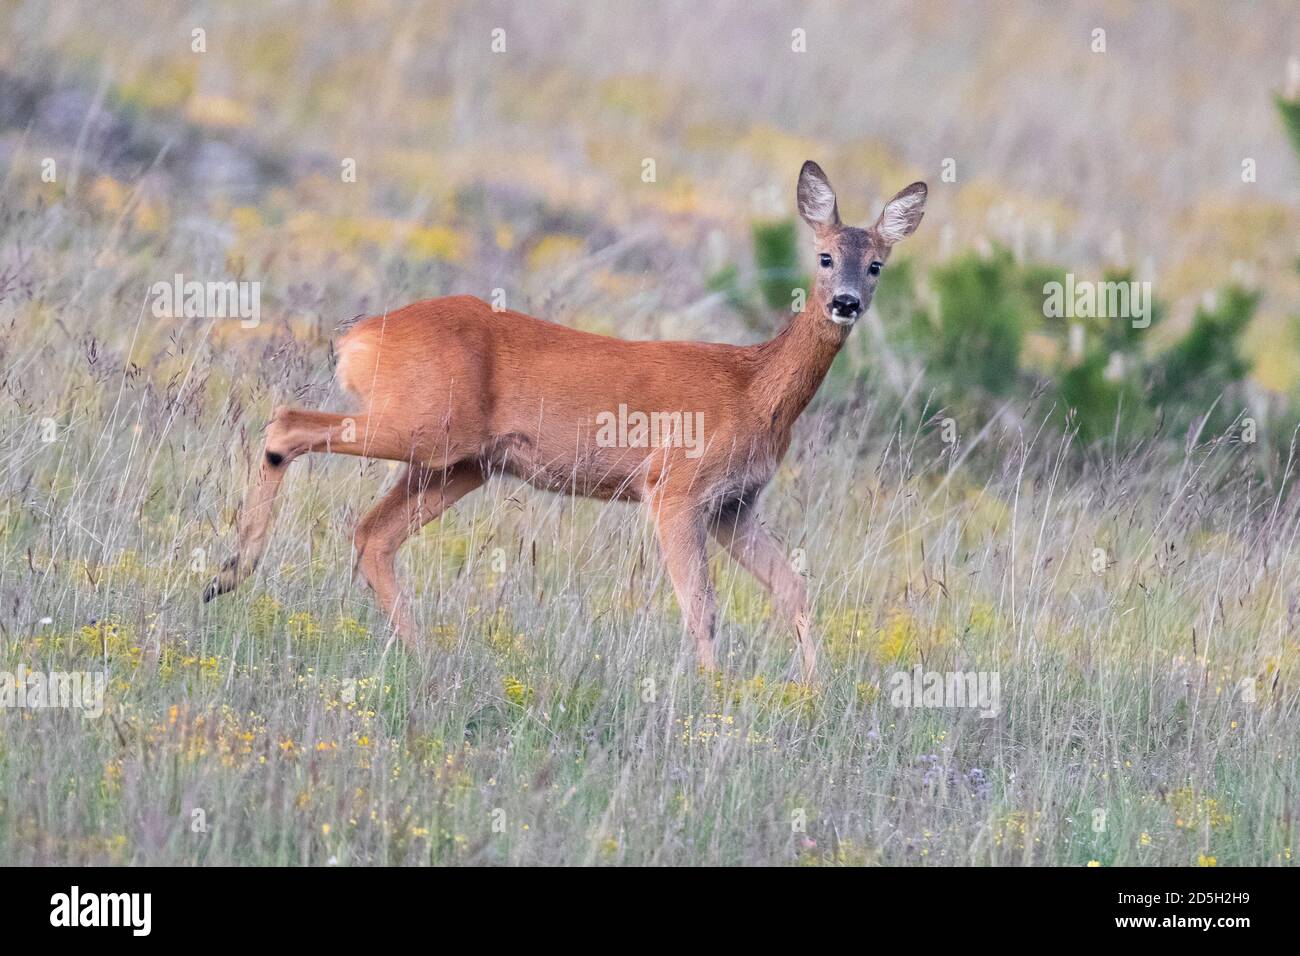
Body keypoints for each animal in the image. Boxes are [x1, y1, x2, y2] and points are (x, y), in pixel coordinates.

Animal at [205, 162, 925, 681]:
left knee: (372, 534)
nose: (846, 302)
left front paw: (811, 691)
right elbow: (703, 607)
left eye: (877, 264)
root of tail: (355, 338)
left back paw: (425, 656)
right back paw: (229, 573)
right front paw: (712, 693)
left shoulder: (734, 503)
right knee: (287, 424)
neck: (754, 389)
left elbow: (794, 590)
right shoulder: (675, 487)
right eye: (825, 256)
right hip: (421, 424)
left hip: (461, 463)